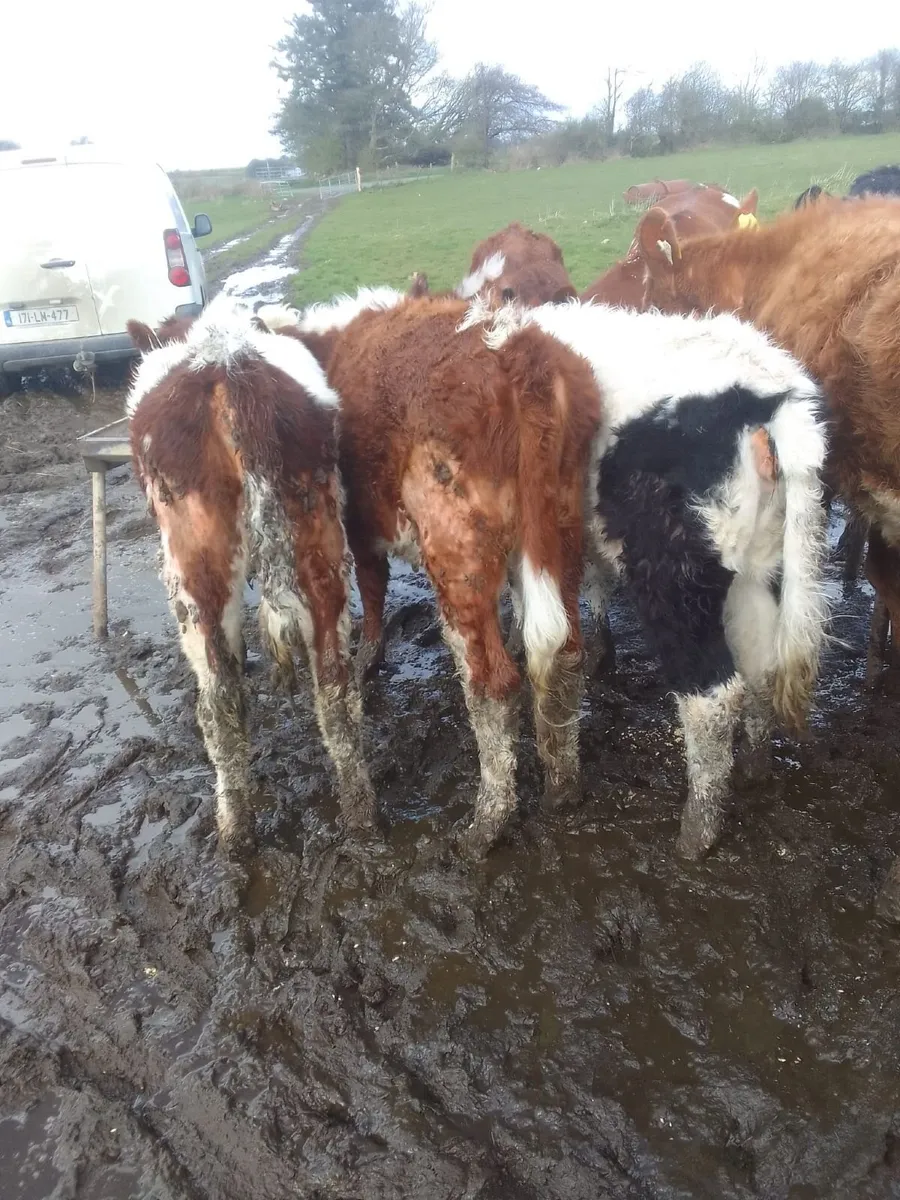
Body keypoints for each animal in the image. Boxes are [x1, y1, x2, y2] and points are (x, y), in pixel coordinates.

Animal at [125, 295, 376, 852]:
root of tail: (226, 372)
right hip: (306, 545)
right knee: (330, 687)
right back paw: (353, 815)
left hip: (197, 570)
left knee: (222, 698)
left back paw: (236, 825)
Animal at [259, 289, 600, 858]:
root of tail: (516, 351)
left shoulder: (359, 527)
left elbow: (373, 588)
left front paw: (368, 657)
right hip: (561, 534)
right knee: (566, 653)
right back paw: (563, 786)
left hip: (455, 551)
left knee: (492, 683)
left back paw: (485, 825)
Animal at [462, 295, 829, 864]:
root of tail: (771, 392)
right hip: (755, 572)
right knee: (762, 668)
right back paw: (752, 771)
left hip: (671, 583)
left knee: (712, 698)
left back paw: (697, 831)